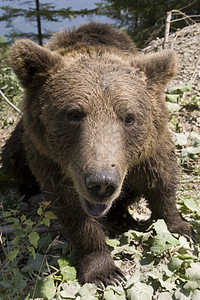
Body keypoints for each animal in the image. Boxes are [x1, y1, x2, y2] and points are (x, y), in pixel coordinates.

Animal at [1, 22, 192, 286]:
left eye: (129, 117)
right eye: (74, 114)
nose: (101, 182)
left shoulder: (151, 147)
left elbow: (162, 180)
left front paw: (181, 226)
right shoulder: (52, 164)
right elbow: (74, 212)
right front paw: (105, 271)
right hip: (20, 146)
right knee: (11, 163)